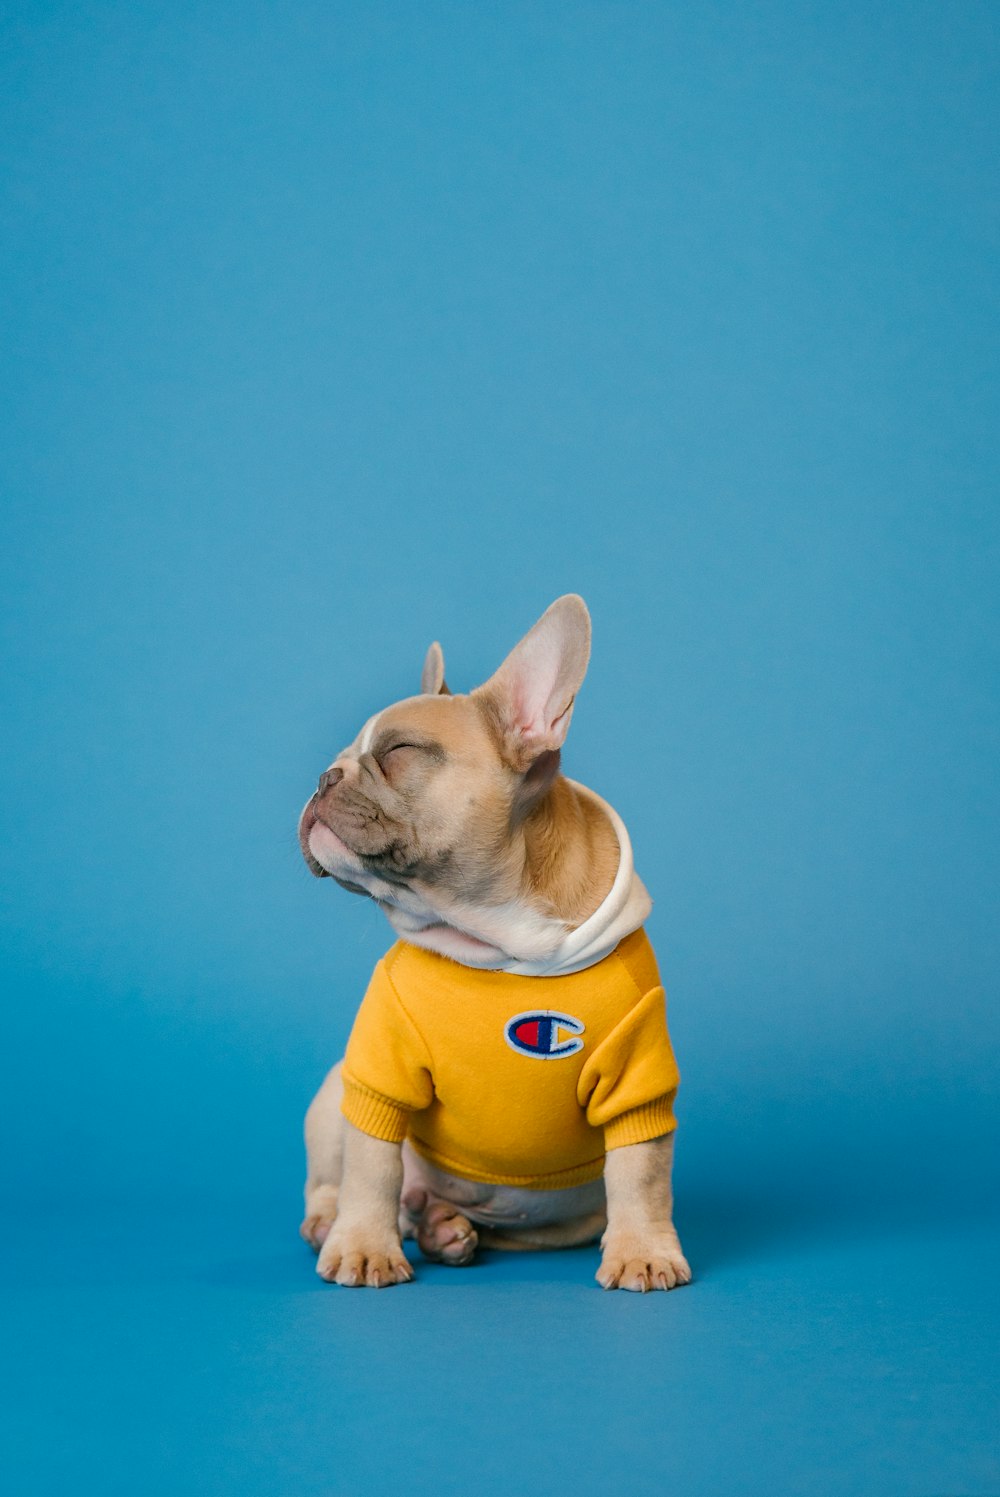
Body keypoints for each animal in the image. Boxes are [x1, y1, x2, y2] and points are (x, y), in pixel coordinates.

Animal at [296, 589, 688, 1293]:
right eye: (339, 757)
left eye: (398, 750)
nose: (323, 777)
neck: (507, 947)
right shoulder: (379, 1068)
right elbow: (371, 1165)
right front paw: (363, 1246)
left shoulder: (638, 1073)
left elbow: (642, 1173)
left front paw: (643, 1250)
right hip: (333, 1090)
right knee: (343, 1181)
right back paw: (345, 1223)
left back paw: (443, 1228)